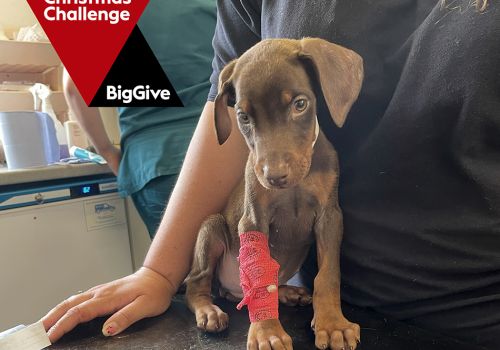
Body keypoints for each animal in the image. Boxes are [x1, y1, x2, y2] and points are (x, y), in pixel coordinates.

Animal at [187, 37, 364, 350]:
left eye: (300, 104)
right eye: (243, 116)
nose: (275, 176)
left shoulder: (330, 217)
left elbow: (328, 275)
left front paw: (333, 323)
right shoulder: (254, 220)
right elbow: (260, 280)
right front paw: (266, 331)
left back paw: (287, 292)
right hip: (212, 228)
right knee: (196, 283)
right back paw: (208, 310)